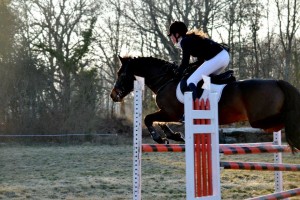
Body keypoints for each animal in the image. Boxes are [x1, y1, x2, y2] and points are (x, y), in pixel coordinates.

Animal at [110, 55, 300, 151]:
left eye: (121, 74)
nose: (113, 95)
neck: (166, 80)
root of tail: (277, 82)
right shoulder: (169, 113)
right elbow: (159, 122)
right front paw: (174, 136)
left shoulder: (171, 112)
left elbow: (148, 118)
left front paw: (159, 138)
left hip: (260, 119)